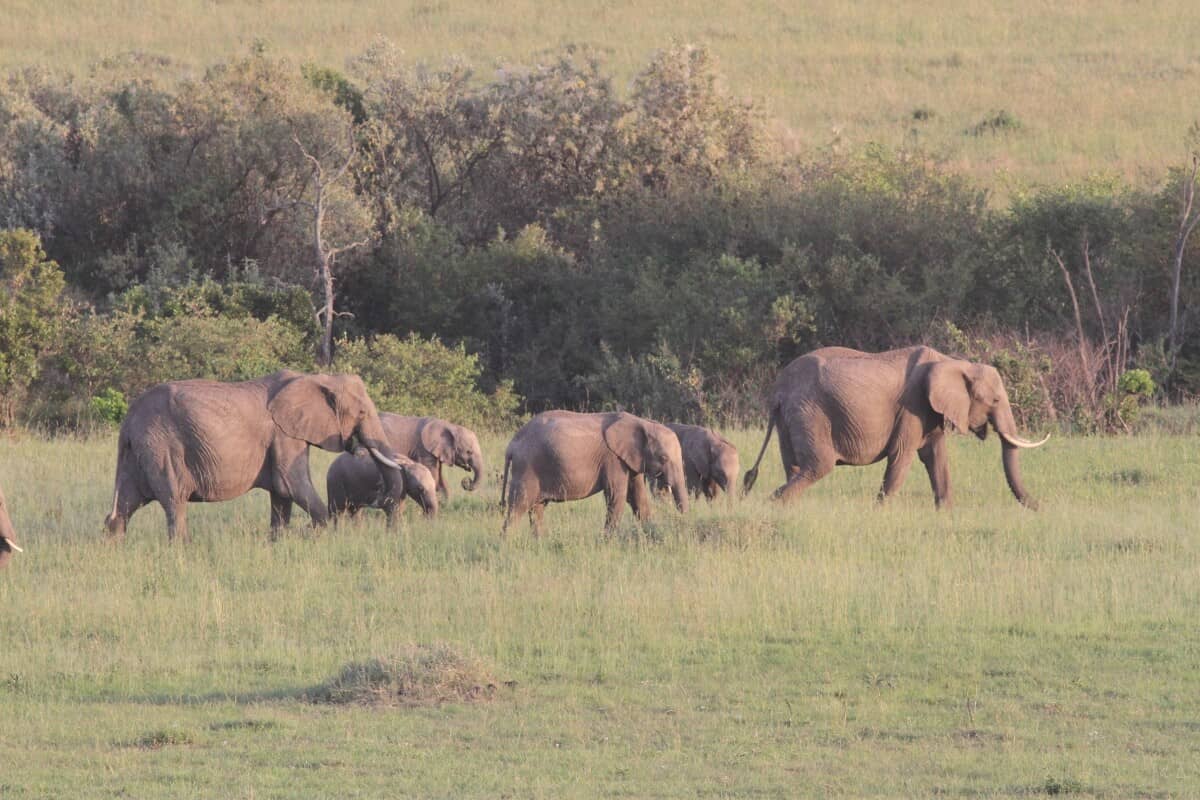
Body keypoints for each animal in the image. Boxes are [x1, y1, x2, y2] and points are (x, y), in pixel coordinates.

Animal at [104, 370, 411, 542]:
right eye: (361, 413)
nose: (378, 500)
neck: (316, 377)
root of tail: (129, 420)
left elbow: (281, 495)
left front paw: (279, 543)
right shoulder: (284, 435)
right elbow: (292, 484)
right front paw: (322, 535)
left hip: (139, 452)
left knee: (125, 505)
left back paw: (115, 547)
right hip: (162, 447)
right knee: (174, 500)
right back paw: (182, 550)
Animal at [499, 410, 689, 536]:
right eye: (663, 458)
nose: (681, 523)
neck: (642, 422)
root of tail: (511, 445)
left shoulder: (630, 461)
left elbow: (637, 498)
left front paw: (650, 533)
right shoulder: (613, 459)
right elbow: (617, 496)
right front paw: (607, 542)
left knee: (537, 509)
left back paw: (540, 542)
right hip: (526, 469)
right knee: (518, 507)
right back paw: (507, 545)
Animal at [742, 346, 1048, 508]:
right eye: (995, 400)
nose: (1039, 508)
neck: (953, 362)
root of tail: (778, 390)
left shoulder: (930, 412)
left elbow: (936, 459)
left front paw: (946, 512)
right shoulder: (912, 408)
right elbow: (902, 458)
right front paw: (879, 511)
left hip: (791, 418)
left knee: (795, 467)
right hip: (810, 412)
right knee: (818, 466)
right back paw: (771, 505)